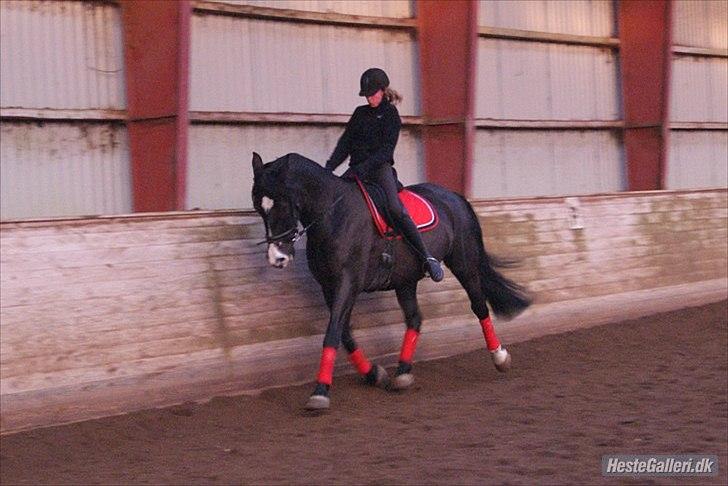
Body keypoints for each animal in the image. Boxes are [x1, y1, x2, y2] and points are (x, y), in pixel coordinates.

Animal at [250, 153, 528, 410]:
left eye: (282, 204)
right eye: (258, 207)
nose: (277, 258)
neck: (333, 213)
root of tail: (454, 196)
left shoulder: (348, 281)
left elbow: (332, 333)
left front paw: (320, 392)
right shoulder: (329, 286)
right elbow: (344, 333)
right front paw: (374, 373)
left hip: (464, 263)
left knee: (478, 305)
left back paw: (500, 357)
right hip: (405, 280)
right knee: (415, 318)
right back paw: (402, 373)